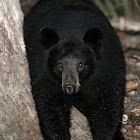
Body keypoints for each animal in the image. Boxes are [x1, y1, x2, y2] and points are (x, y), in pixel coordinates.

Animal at [23, 0, 125, 139]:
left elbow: (107, 108)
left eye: (80, 64)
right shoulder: (43, 73)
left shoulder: (107, 69)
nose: (69, 87)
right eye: (60, 64)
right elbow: (50, 108)